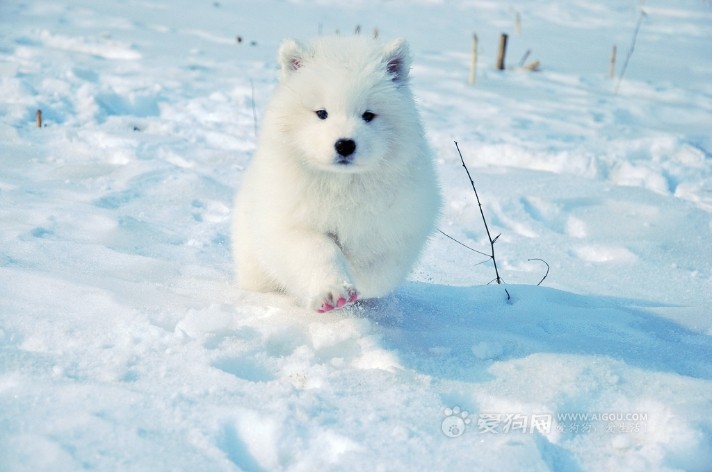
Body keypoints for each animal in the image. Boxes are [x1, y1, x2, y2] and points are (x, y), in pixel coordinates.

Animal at [232, 35, 440, 312]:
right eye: (322, 113)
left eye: (368, 115)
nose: (345, 144)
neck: (342, 183)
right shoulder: (292, 224)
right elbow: (318, 250)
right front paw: (333, 292)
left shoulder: (395, 230)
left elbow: (377, 269)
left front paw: (356, 287)